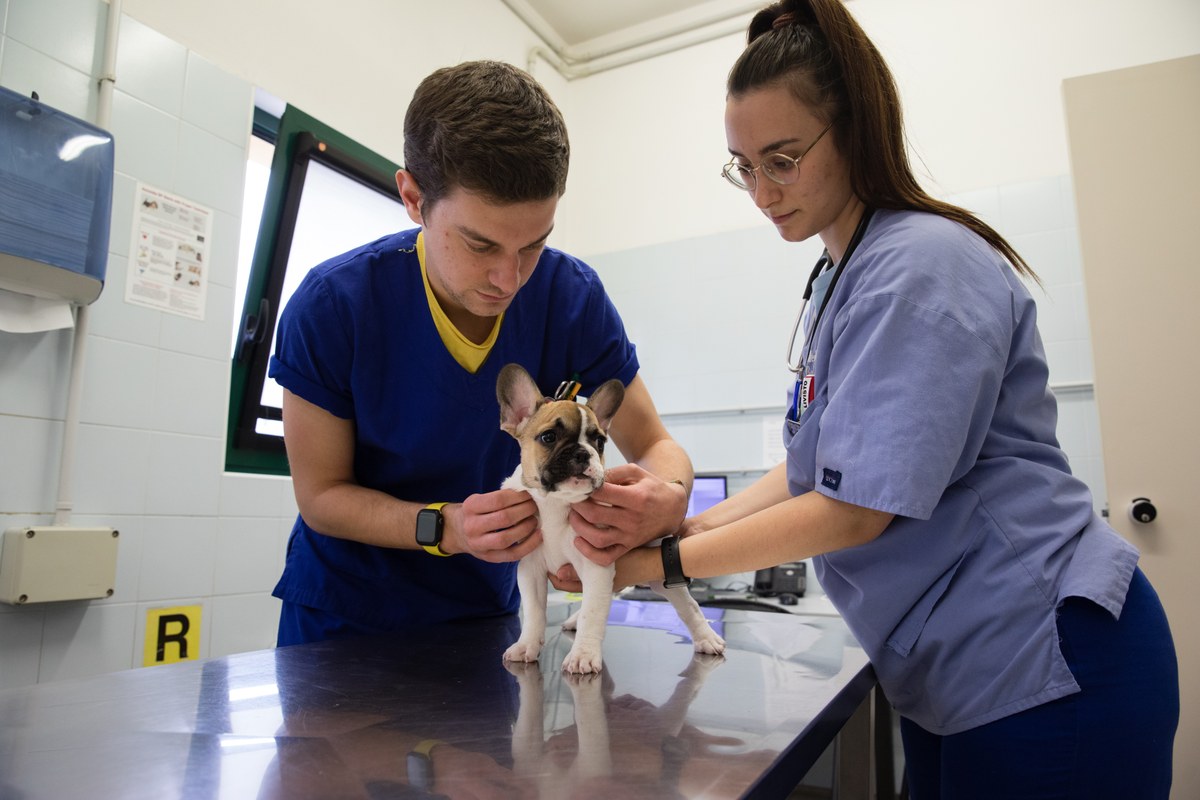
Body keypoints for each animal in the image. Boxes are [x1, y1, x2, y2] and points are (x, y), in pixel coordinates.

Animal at [494, 364, 720, 676]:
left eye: (599, 441)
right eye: (548, 437)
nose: (582, 453)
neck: (556, 503)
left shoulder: (595, 565)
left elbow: (593, 613)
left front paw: (583, 655)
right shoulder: (531, 569)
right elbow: (535, 611)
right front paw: (526, 645)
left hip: (660, 576)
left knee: (690, 608)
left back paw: (707, 638)